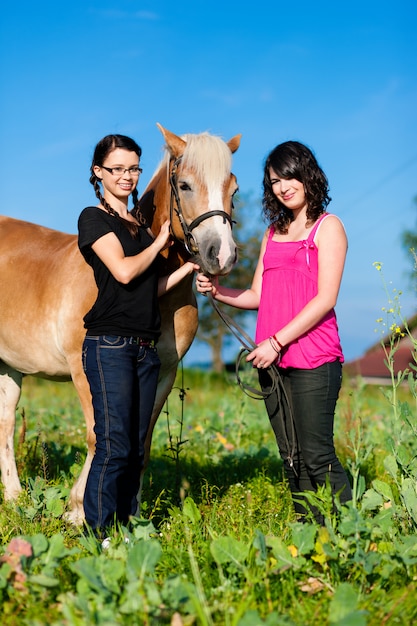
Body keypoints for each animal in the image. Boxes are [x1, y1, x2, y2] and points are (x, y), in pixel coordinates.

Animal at [0, 123, 240, 520]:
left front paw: (133, 513)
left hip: (8, 366)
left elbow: (141, 442)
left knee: (5, 422)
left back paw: (15, 497)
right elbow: (100, 436)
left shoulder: (163, 373)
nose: (220, 256)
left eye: (232, 189)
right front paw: (78, 510)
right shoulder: (84, 370)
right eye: (185, 185)